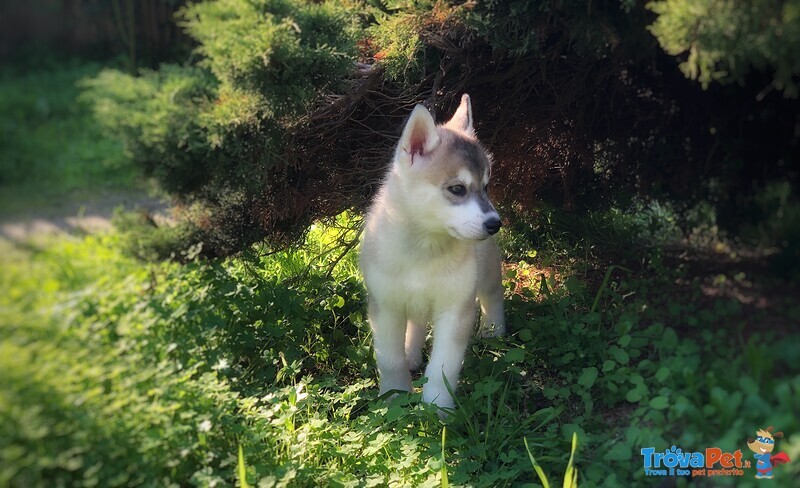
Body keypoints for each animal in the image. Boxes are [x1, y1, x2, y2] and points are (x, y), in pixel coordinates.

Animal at [360, 93, 504, 410]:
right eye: (457, 189)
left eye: (486, 186)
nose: (495, 223)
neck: (424, 250)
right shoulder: (385, 307)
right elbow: (389, 359)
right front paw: (394, 397)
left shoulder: (456, 308)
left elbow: (443, 367)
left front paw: (437, 408)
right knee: (416, 323)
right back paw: (412, 355)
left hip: (487, 269)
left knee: (493, 294)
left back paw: (495, 331)